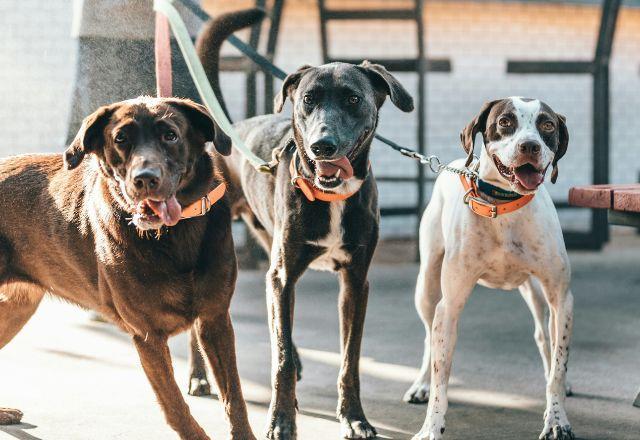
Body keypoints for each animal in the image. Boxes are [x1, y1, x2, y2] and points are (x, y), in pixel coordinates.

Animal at [0, 97, 255, 440]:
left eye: (170, 135)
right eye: (120, 139)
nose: (145, 179)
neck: (173, 236)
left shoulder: (214, 320)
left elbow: (235, 399)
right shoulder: (148, 336)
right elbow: (176, 408)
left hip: (18, 307)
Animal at [195, 9, 412, 440]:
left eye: (353, 98)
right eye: (308, 100)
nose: (322, 146)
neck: (332, 196)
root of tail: (227, 135)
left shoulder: (355, 281)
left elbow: (349, 359)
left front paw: (354, 417)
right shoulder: (282, 277)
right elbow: (278, 358)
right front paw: (280, 420)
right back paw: (198, 377)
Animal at [408, 97, 576, 440]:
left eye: (547, 125)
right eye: (505, 122)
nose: (529, 146)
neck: (503, 206)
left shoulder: (562, 299)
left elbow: (558, 364)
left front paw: (556, 419)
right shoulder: (450, 305)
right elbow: (441, 379)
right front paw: (431, 427)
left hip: (536, 292)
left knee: (544, 337)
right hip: (427, 287)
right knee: (428, 336)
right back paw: (420, 383)